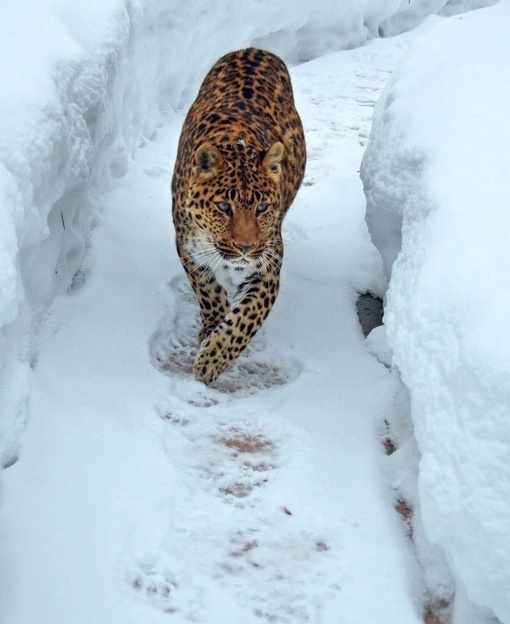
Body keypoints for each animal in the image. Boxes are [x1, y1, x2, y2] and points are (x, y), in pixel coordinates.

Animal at [171, 47, 306, 386]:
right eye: (223, 207)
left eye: (262, 208)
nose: (245, 247)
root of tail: (255, 49)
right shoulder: (188, 249)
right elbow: (209, 293)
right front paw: (210, 329)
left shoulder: (268, 267)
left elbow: (246, 318)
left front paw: (211, 361)